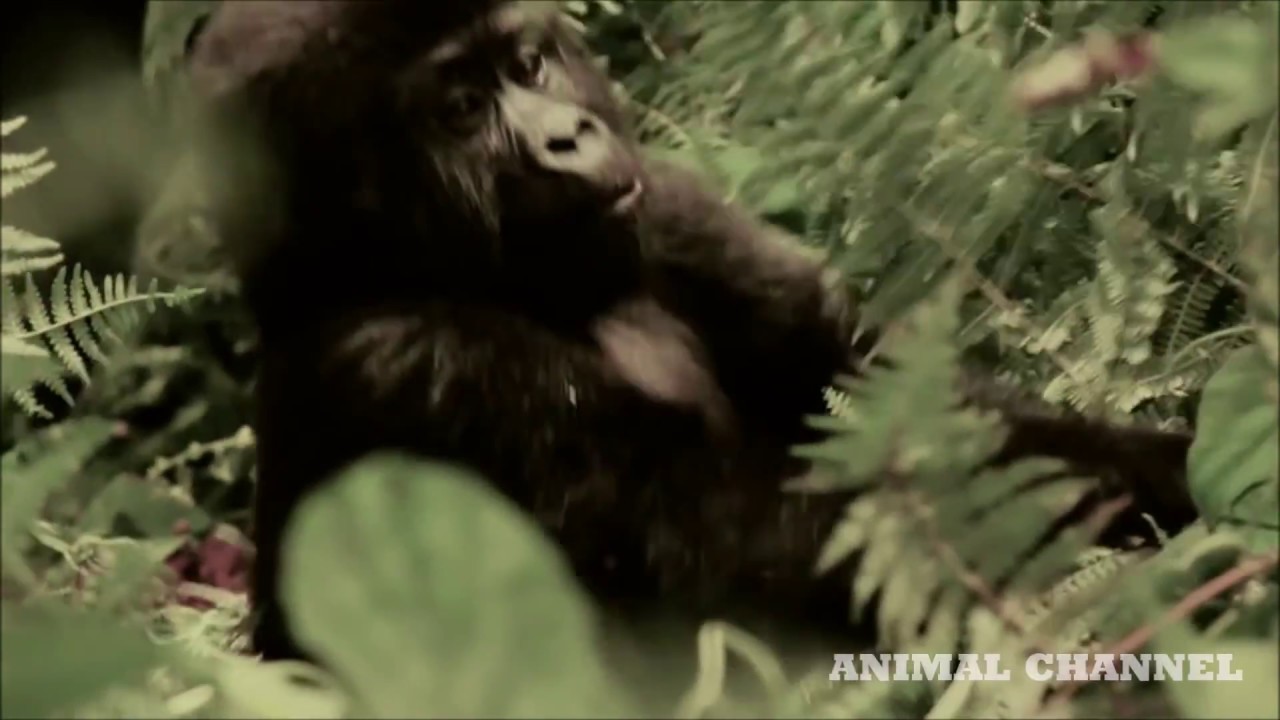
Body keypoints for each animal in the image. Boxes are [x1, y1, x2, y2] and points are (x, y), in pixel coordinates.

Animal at [182, 0, 1198, 701]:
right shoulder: (410, 367)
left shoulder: (677, 213)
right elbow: (760, 566)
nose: (566, 137)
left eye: (528, 63)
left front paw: (1170, 468)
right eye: (463, 109)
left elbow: (885, 399)